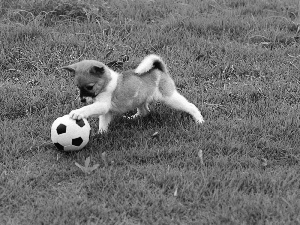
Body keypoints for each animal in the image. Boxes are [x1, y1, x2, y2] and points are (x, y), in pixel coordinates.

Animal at [62, 53, 205, 133]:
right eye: (78, 87)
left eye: (89, 87)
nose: (82, 100)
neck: (107, 83)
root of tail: (160, 69)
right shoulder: (105, 111)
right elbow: (103, 122)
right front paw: (101, 133)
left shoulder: (102, 105)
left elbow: (89, 109)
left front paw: (77, 112)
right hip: (140, 100)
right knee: (145, 111)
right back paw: (132, 118)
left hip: (169, 97)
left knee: (190, 106)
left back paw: (199, 120)